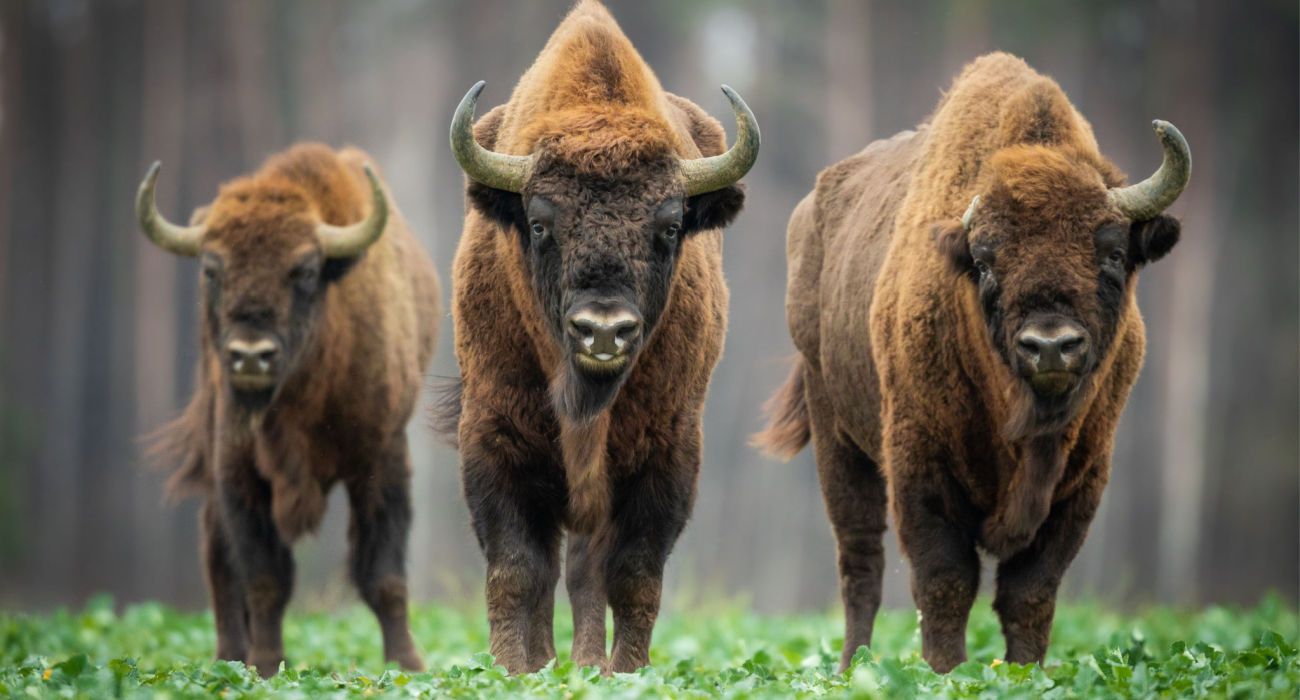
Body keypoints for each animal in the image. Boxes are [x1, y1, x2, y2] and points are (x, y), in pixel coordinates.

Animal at [137, 144, 439, 671]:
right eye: (211, 269)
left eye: (305, 271)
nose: (250, 355)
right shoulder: (238, 470)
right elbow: (265, 578)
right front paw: (264, 665)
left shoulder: (382, 459)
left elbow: (384, 575)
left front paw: (407, 665)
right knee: (218, 556)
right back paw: (228, 658)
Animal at [441, 1, 759, 676]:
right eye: (540, 223)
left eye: (670, 226)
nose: (604, 331)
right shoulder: (493, 437)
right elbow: (515, 570)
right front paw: (512, 671)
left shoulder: (668, 452)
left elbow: (633, 575)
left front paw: (625, 673)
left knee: (587, 572)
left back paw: (587, 665)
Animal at [759, 51, 1190, 666]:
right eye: (986, 262)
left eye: (1112, 252)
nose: (1050, 345)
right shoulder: (921, 467)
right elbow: (945, 581)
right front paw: (948, 673)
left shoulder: (1081, 482)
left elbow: (1030, 592)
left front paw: (1025, 673)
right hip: (837, 436)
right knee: (860, 562)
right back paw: (852, 667)